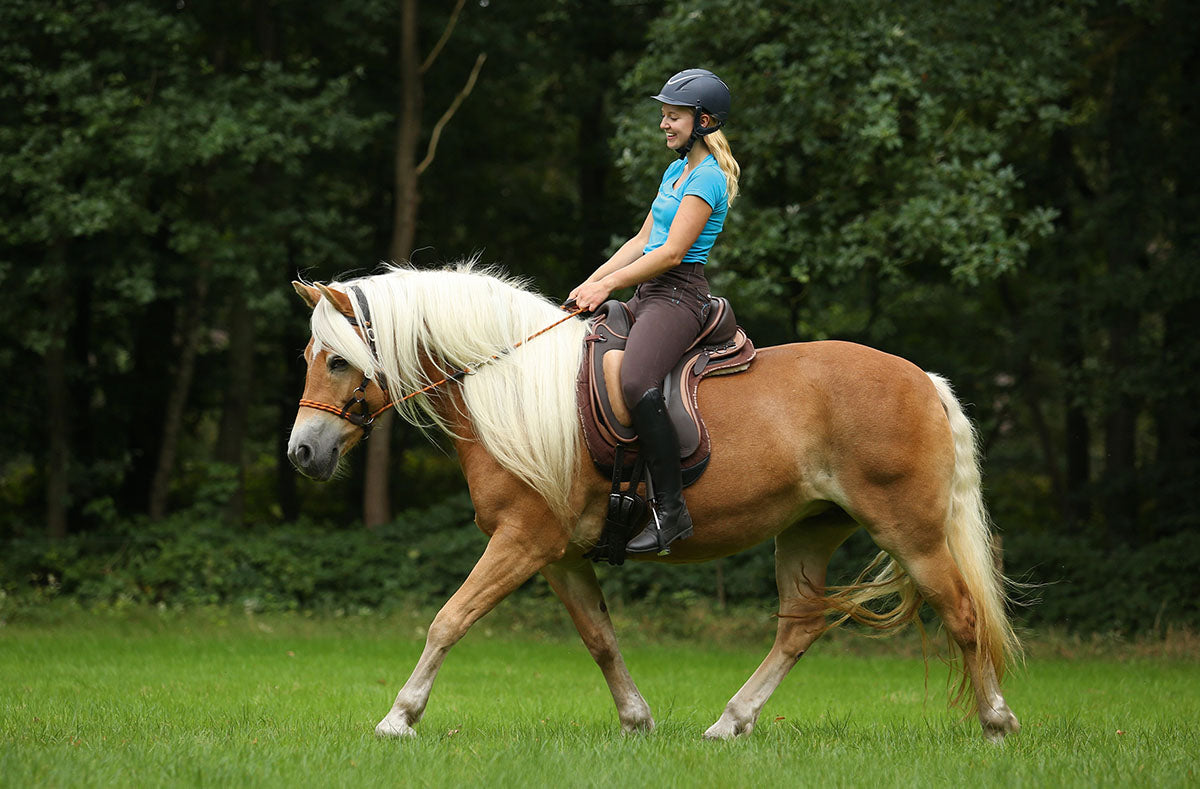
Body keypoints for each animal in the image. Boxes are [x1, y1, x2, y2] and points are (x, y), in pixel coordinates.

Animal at [288, 261, 1022, 738]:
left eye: (337, 360)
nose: (303, 453)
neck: (511, 388)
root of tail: (923, 380)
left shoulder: (522, 540)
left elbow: (449, 619)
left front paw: (399, 716)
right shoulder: (559, 554)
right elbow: (600, 637)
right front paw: (636, 720)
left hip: (910, 532)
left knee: (962, 615)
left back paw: (996, 722)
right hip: (809, 530)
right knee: (800, 626)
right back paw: (730, 722)